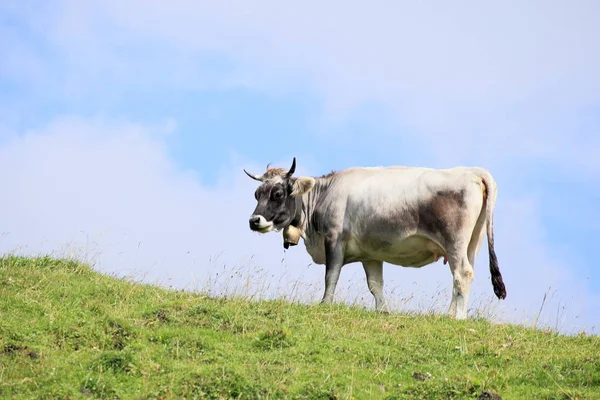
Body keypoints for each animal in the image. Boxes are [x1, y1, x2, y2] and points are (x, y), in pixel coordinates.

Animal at [244, 157, 506, 318]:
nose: (254, 221)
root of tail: (471, 171)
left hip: (455, 243)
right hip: (472, 243)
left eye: (277, 193)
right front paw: (383, 311)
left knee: (462, 274)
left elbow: (331, 277)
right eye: (257, 194)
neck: (324, 195)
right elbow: (375, 285)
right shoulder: (370, 255)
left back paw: (456, 317)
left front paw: (325, 304)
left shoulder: (334, 240)